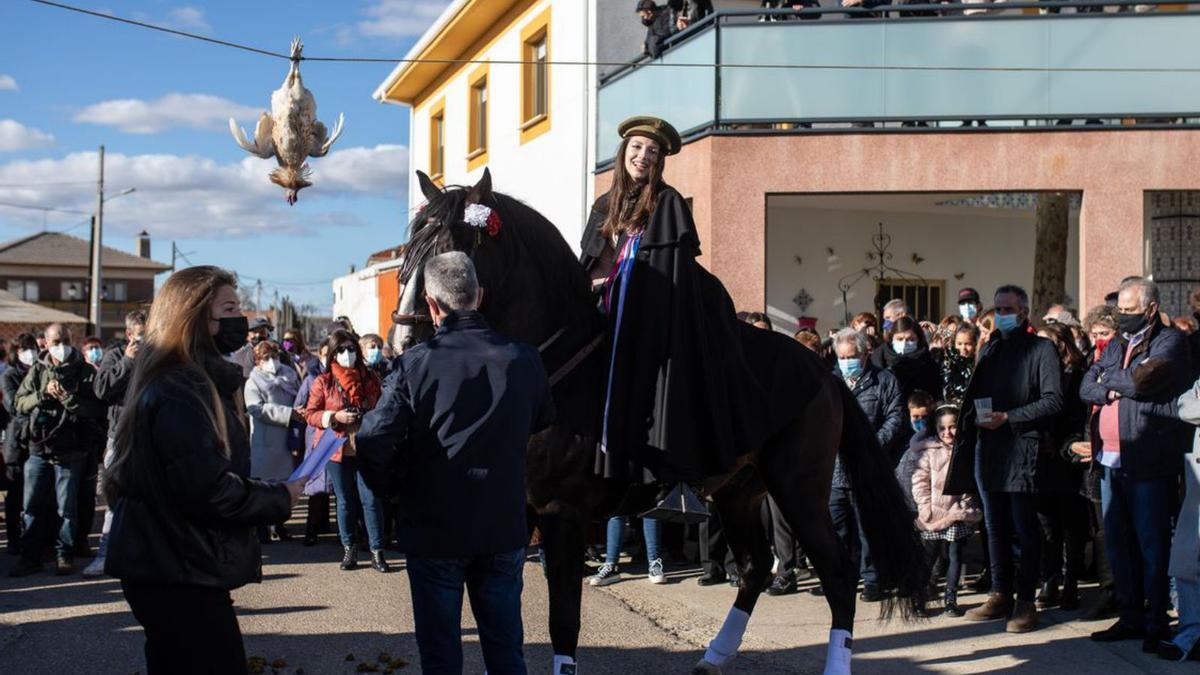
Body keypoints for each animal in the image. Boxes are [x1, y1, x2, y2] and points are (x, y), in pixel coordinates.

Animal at [388, 169, 921, 672]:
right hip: (738, 489)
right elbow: (500, 615)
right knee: (753, 566)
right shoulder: (517, 512)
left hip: (800, 490)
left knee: (837, 573)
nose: (403, 345)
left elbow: (563, 622)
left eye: (452, 251)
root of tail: (823, 371)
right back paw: (714, 656)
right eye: (410, 250)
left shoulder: (563, 516)